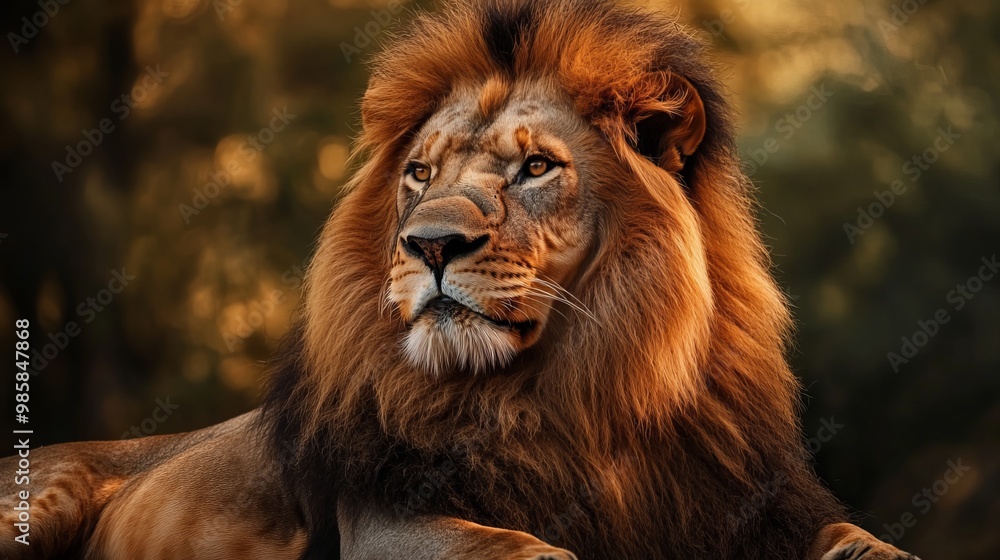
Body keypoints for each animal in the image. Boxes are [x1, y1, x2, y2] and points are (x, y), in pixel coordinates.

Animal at [1, 1, 920, 558]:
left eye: (536, 167)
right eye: (419, 172)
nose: (429, 244)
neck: (580, 393)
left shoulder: (746, 509)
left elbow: (863, 540)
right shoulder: (381, 522)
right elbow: (523, 548)